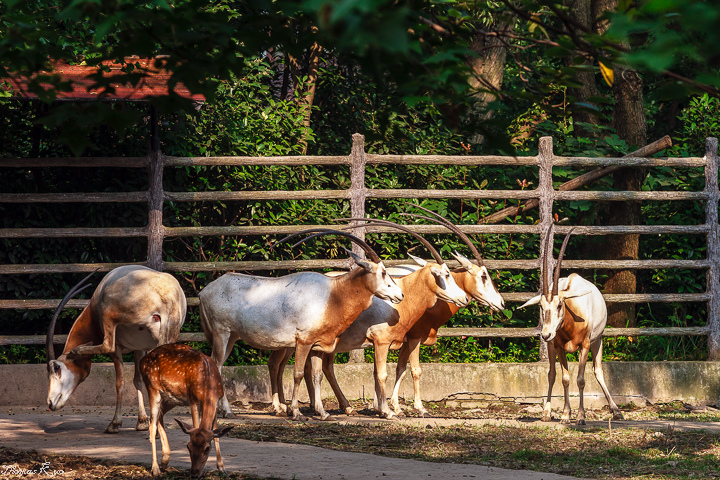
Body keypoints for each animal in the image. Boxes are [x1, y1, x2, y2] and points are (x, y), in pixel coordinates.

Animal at [45, 264, 186, 434]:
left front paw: (115, 424)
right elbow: (138, 380)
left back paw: (77, 350)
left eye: (56, 367)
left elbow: (120, 382)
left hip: (109, 313)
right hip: (169, 336)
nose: (50, 403)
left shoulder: (117, 348)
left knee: (107, 345)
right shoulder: (139, 348)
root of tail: (166, 294)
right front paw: (142, 422)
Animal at [139, 344, 232, 478]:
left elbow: (216, 435)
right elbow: (196, 425)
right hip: (152, 388)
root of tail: (142, 361)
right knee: (152, 423)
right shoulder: (193, 399)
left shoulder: (216, 400)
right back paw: (155, 469)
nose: (194, 473)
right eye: (188, 446)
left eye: (207, 449)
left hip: (170, 399)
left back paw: (165, 461)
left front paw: (222, 468)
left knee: (160, 416)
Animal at [198, 229, 404, 420]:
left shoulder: (317, 345)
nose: (400, 295)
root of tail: (204, 292)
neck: (333, 295)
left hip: (232, 337)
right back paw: (227, 411)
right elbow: (297, 374)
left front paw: (322, 413)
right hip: (222, 334)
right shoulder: (304, 341)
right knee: (217, 366)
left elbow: (316, 375)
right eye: (383, 272)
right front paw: (297, 412)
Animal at [516, 227, 624, 426]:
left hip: (597, 341)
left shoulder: (585, 345)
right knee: (551, 374)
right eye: (541, 306)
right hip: (551, 347)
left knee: (598, 371)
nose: (545, 334)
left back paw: (616, 411)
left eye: (560, 305)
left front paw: (581, 417)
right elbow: (565, 378)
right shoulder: (558, 347)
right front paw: (566, 415)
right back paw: (546, 413)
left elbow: (581, 379)